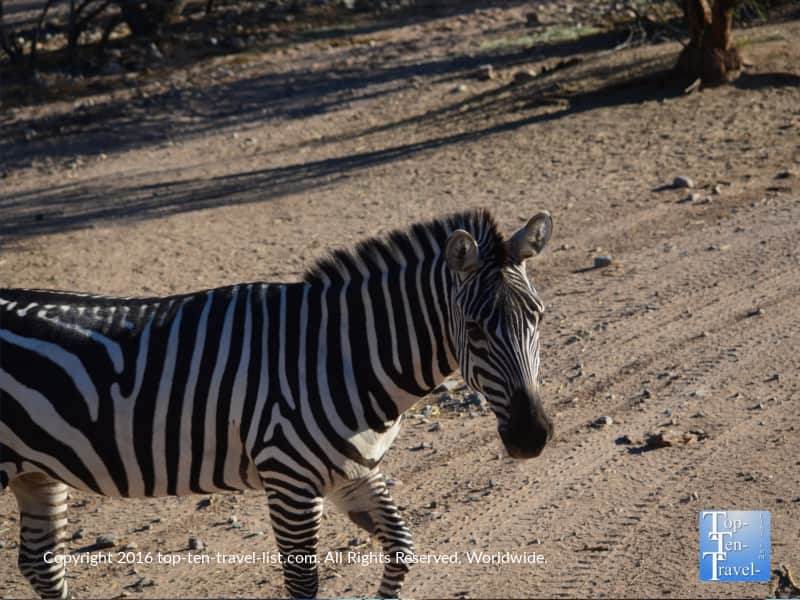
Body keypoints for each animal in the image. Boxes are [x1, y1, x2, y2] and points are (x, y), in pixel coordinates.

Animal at [0, 208, 554, 599]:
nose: (533, 437)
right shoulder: (289, 480)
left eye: (540, 317)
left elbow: (402, 548)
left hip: (37, 472)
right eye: (475, 330)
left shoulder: (352, 474)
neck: (340, 354)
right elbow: (303, 583)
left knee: (42, 564)